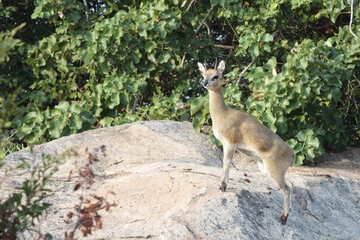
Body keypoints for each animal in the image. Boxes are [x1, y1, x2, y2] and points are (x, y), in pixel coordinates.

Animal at [198, 60, 294, 225]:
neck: (223, 114)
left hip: (275, 171)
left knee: (287, 189)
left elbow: (226, 163)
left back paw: (283, 218)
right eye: (203, 74)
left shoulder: (230, 143)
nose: (205, 83)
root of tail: (292, 153)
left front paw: (222, 186)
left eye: (216, 75)